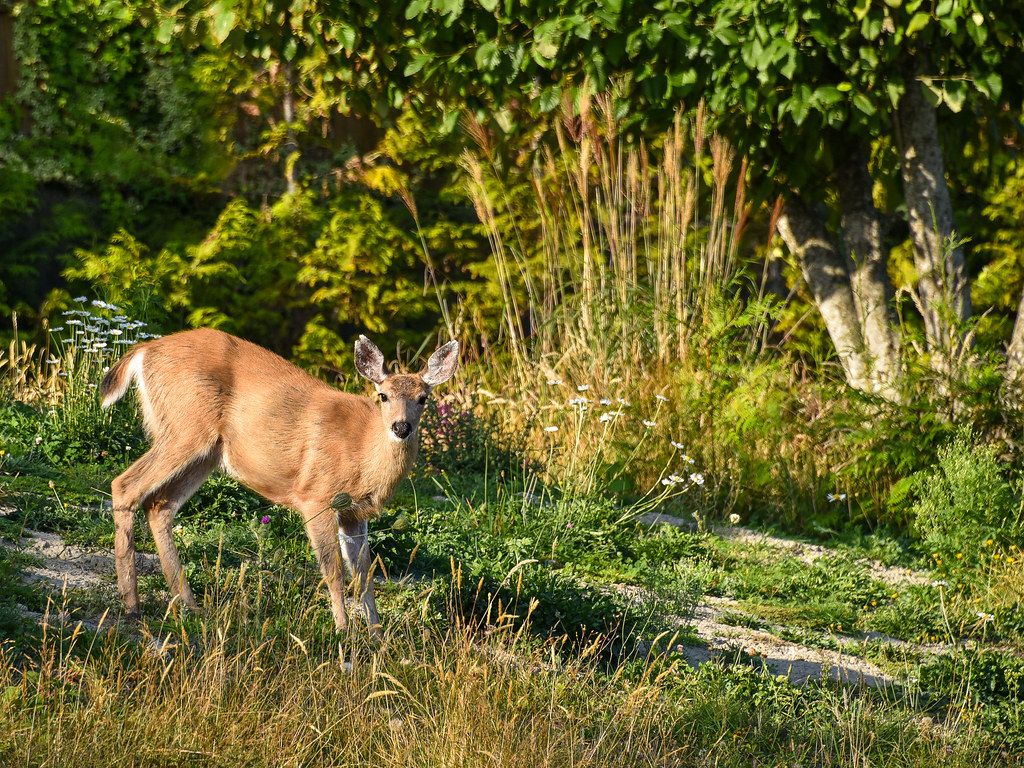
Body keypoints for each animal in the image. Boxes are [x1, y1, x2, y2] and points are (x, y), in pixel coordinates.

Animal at [99, 327, 459, 634]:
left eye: (423, 398)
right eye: (383, 395)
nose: (401, 427)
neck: (361, 452)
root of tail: (144, 351)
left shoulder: (355, 513)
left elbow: (365, 575)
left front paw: (377, 637)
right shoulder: (316, 496)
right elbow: (334, 571)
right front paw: (343, 631)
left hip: (205, 451)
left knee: (159, 504)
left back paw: (190, 606)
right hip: (184, 426)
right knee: (125, 486)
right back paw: (132, 605)